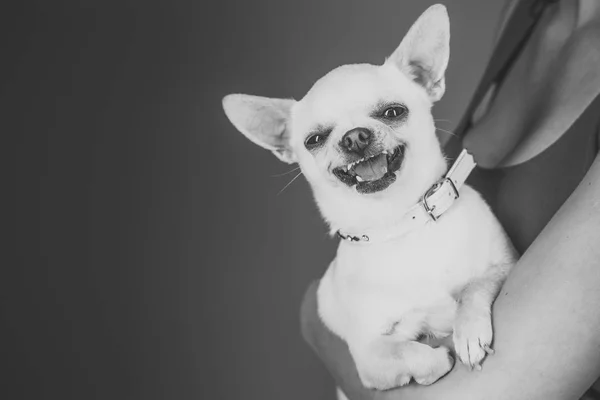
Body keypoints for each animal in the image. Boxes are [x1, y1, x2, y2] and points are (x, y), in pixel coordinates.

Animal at [220, 3, 516, 390]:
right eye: (314, 139)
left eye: (393, 112)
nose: (354, 136)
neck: (401, 222)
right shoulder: (368, 359)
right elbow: (406, 351)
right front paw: (437, 357)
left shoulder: (505, 263)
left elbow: (475, 287)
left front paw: (467, 332)